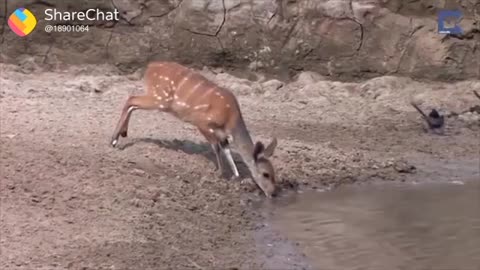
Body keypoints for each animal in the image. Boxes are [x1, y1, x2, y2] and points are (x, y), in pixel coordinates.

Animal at [111, 61, 280, 198]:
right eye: (266, 174)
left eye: (274, 173)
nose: (272, 193)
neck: (230, 119)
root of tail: (150, 67)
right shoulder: (203, 123)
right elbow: (216, 147)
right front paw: (220, 173)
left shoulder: (222, 134)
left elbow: (226, 149)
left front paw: (236, 176)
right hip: (160, 99)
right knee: (131, 99)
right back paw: (113, 140)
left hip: (158, 99)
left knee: (132, 103)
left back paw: (122, 134)